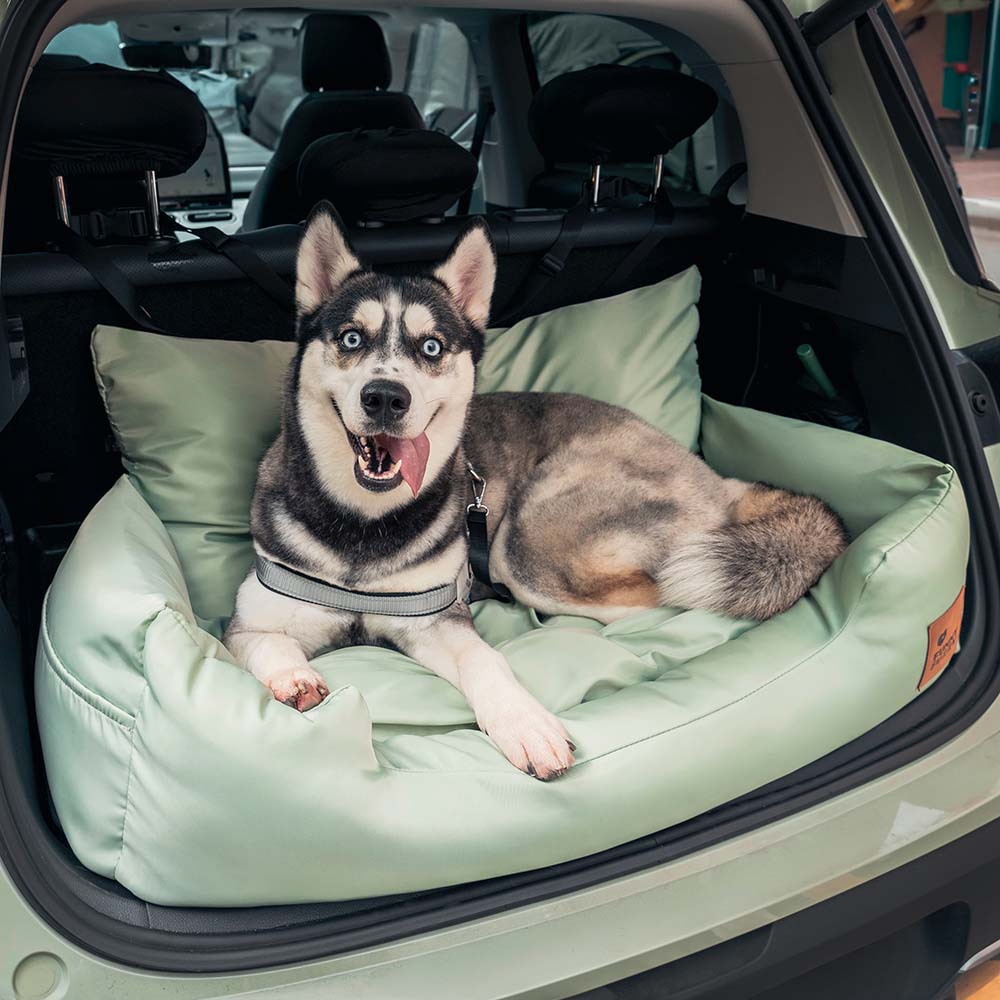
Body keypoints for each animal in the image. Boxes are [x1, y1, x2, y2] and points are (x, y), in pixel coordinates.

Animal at [223, 203, 848, 780]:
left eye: (432, 348)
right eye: (352, 337)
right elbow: (267, 644)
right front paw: (296, 677)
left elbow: (488, 666)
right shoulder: (247, 624)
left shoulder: (439, 621)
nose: (385, 397)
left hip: (524, 545)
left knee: (665, 597)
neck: (364, 527)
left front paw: (526, 725)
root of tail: (715, 479)